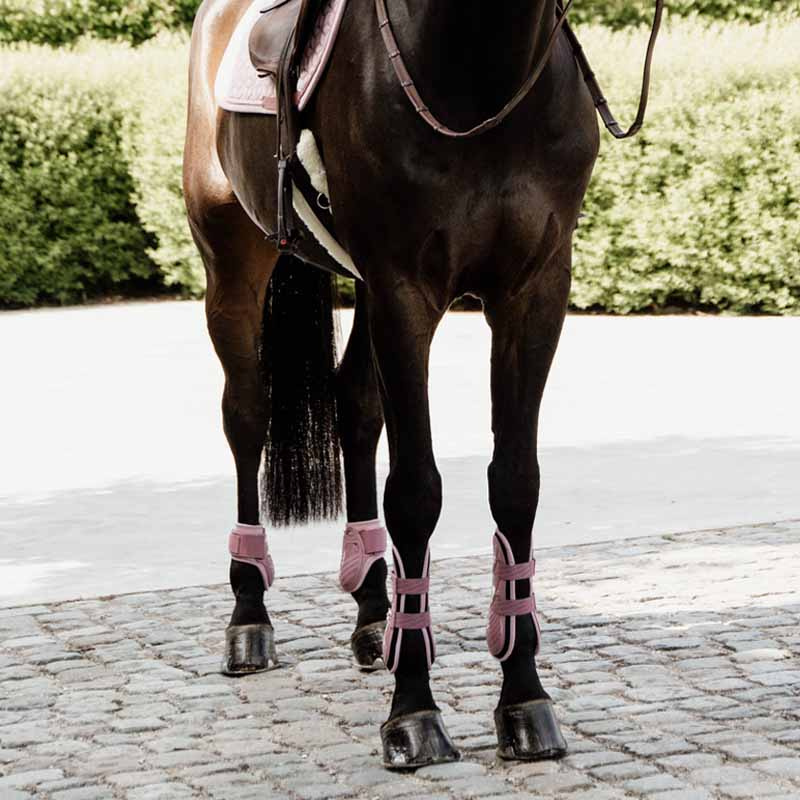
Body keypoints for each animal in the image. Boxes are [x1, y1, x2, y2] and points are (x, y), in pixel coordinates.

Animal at [183, 0, 660, 770]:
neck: (477, 70)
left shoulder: (536, 290)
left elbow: (515, 485)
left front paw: (525, 700)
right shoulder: (404, 291)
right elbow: (415, 491)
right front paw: (413, 712)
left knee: (354, 406)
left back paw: (374, 611)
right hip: (233, 259)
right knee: (247, 415)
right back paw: (250, 619)